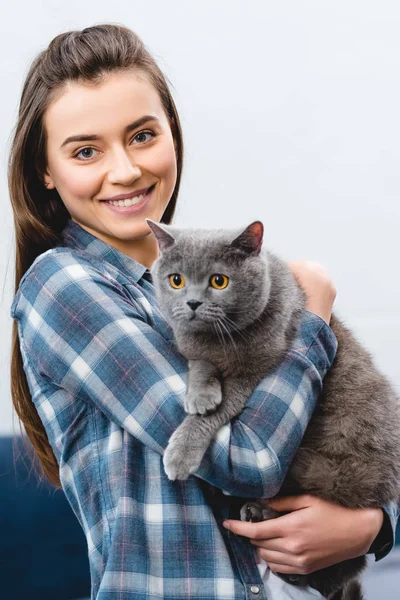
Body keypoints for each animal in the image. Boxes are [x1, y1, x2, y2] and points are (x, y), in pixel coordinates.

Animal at [146, 219, 400, 600]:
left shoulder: (258, 369)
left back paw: (259, 513)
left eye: (219, 281)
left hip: (326, 467)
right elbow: (199, 362)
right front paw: (201, 393)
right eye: (176, 280)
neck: (219, 340)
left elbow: (222, 408)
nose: (191, 302)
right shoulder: (192, 344)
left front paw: (181, 451)